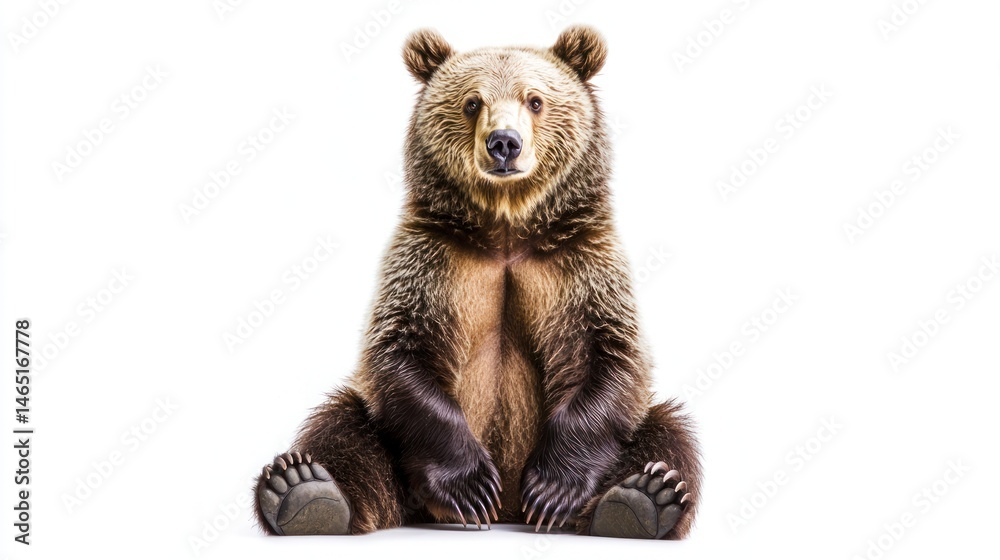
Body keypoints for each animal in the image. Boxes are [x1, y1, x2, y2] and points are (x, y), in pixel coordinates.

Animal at [253, 25, 702, 540]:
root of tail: (510, 512)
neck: (505, 226)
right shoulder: (433, 262)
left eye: (535, 100)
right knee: (343, 428)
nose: (504, 142)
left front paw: (552, 488)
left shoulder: (578, 264)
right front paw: (471, 487)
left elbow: (611, 355)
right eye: (472, 102)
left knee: (666, 431)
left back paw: (641, 498)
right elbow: (399, 353)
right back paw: (304, 489)